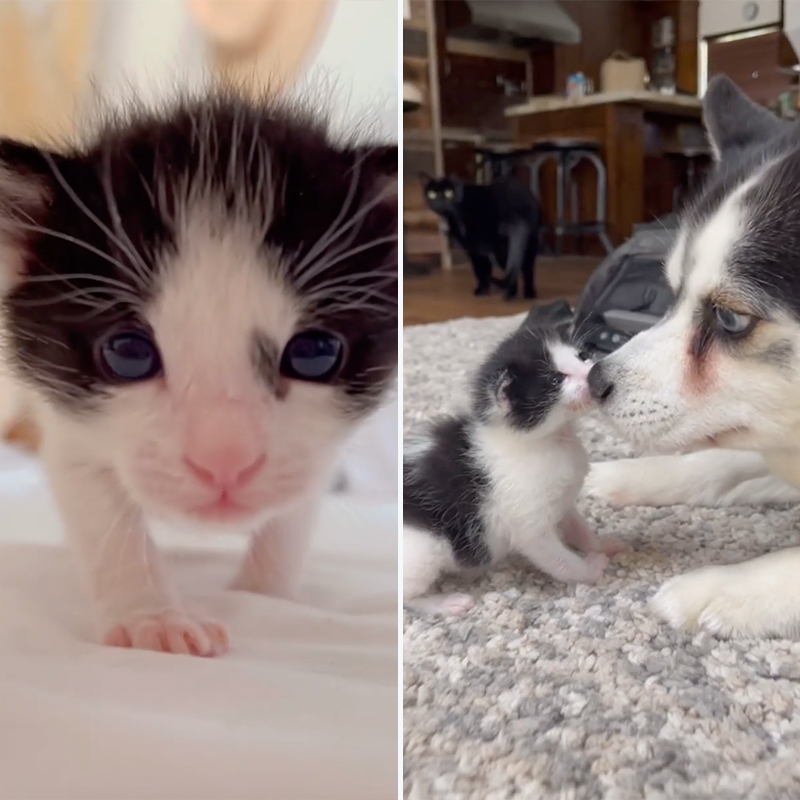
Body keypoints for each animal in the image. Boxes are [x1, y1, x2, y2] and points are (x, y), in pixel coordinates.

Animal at [0, 94, 398, 656]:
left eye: (316, 354)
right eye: (127, 354)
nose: (224, 462)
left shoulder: (318, 451)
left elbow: (291, 519)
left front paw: (265, 594)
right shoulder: (66, 421)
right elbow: (98, 505)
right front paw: (152, 618)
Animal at [404, 322, 628, 616]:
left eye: (581, 356)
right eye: (555, 380)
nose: (593, 372)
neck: (551, 440)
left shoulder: (563, 501)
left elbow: (577, 526)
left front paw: (600, 544)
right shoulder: (528, 524)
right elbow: (559, 560)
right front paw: (590, 569)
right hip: (423, 549)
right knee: (406, 593)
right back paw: (444, 602)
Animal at [584, 73, 800, 636]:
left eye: (730, 319)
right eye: (672, 292)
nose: (594, 382)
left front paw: (729, 585)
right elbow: (724, 461)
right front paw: (632, 474)